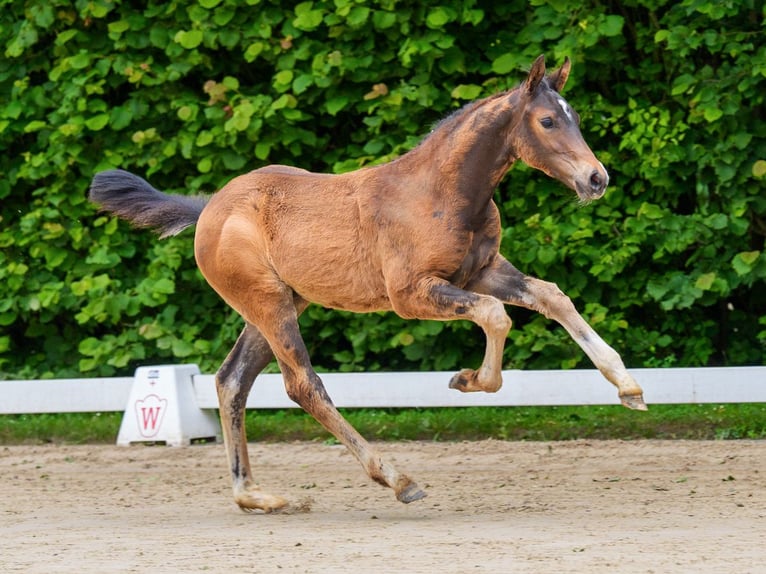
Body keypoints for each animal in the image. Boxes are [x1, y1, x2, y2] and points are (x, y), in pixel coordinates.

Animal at [89, 55, 646, 513]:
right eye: (548, 120)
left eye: (576, 119)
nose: (597, 179)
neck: (440, 192)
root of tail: (209, 208)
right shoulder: (411, 295)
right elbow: (494, 314)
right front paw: (468, 381)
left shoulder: (483, 271)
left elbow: (552, 296)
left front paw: (629, 388)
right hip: (269, 304)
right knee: (303, 385)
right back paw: (397, 479)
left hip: (278, 305)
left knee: (232, 381)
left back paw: (256, 497)